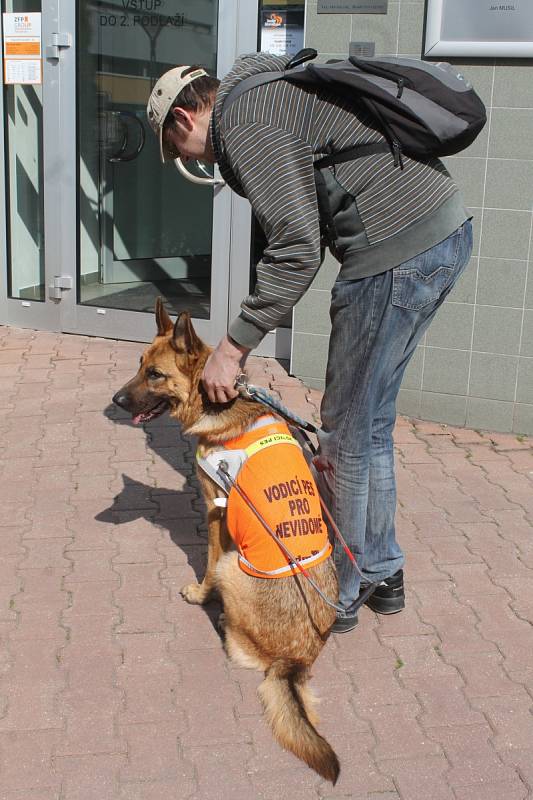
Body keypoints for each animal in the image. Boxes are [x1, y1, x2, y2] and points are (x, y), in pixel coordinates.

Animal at [111, 300, 340, 780]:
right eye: (138, 365)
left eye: (154, 374)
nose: (115, 401)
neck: (218, 399)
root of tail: (297, 659)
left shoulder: (214, 509)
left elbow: (207, 559)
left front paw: (201, 595)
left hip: (233, 570)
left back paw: (223, 621)